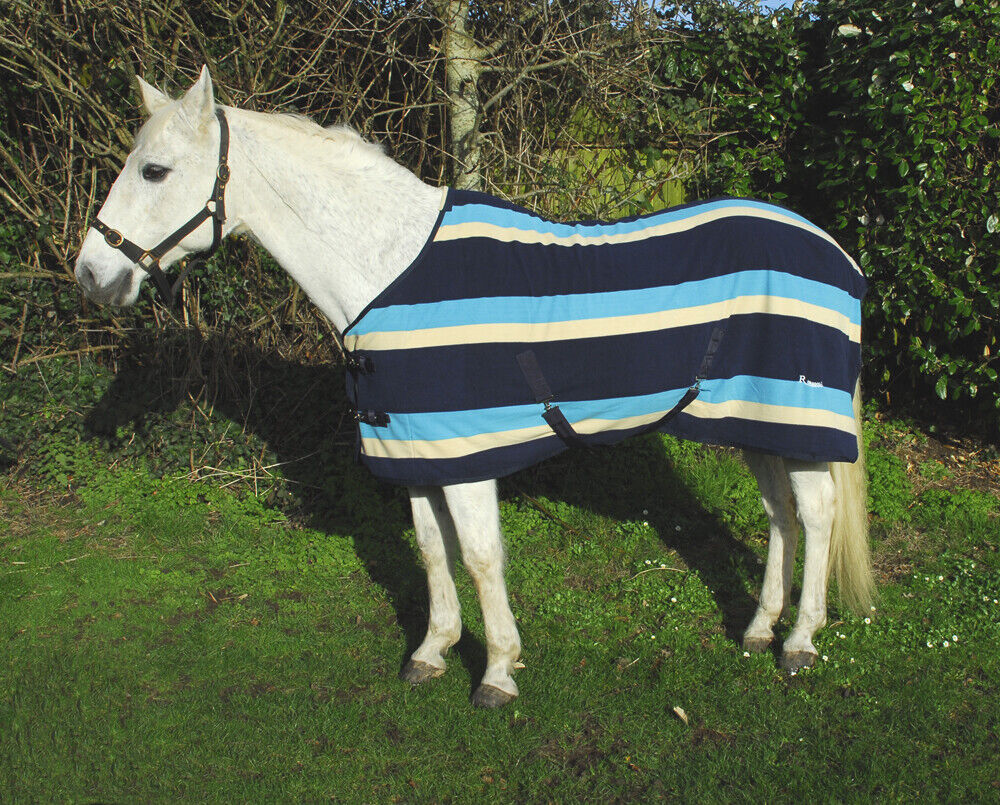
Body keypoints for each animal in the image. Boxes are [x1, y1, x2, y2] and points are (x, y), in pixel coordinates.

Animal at [75, 67, 872, 708]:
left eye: (154, 171)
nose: (90, 275)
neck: (389, 268)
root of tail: (834, 250)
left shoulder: (466, 454)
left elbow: (483, 556)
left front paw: (496, 672)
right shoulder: (418, 451)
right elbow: (435, 552)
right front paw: (432, 651)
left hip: (798, 422)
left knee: (817, 514)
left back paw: (800, 642)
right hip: (755, 419)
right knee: (781, 516)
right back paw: (758, 627)